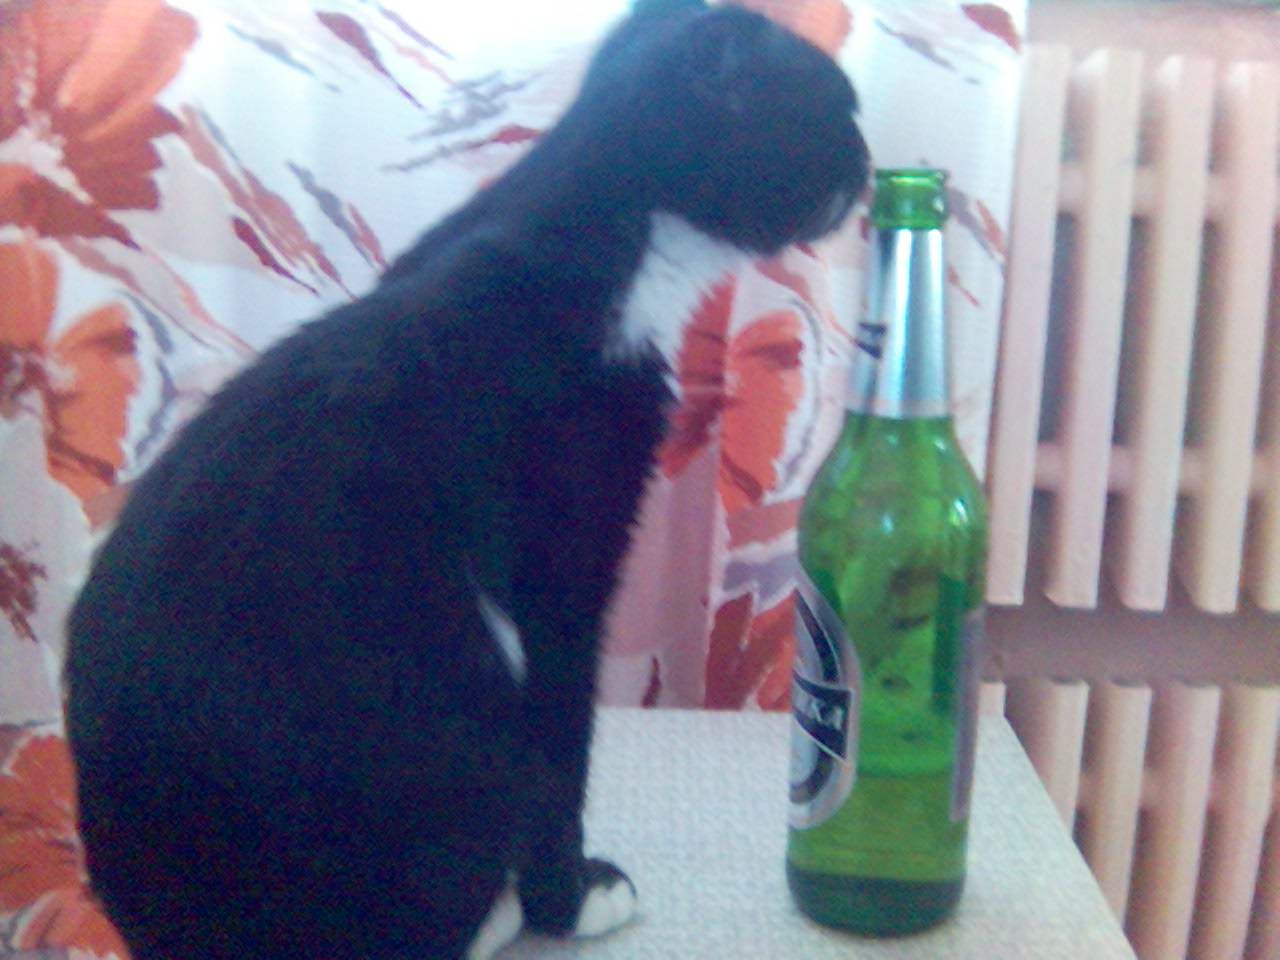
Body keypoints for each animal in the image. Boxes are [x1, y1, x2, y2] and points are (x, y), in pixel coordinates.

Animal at [63, 1, 869, 958]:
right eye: (837, 112)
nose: (869, 163)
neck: (600, 233)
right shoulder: (565, 549)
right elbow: (562, 742)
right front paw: (570, 898)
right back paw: (500, 912)